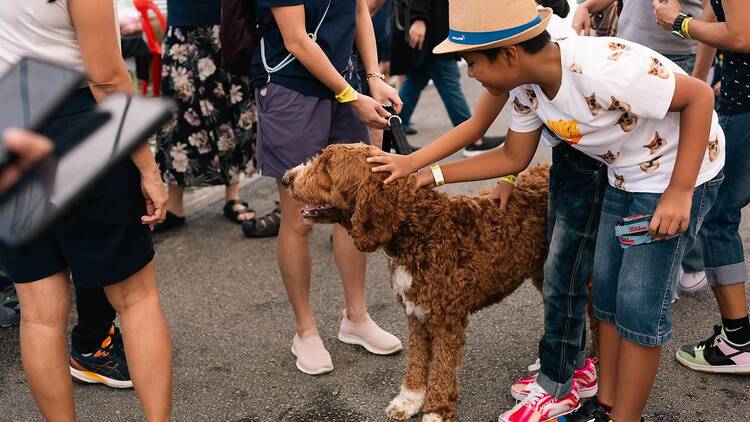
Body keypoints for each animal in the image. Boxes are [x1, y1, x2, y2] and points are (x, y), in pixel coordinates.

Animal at [284, 143, 548, 420]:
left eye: (326, 166)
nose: (287, 178)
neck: (420, 231)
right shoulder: (416, 311)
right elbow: (417, 358)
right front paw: (409, 400)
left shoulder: (447, 318)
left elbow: (442, 367)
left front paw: (436, 410)